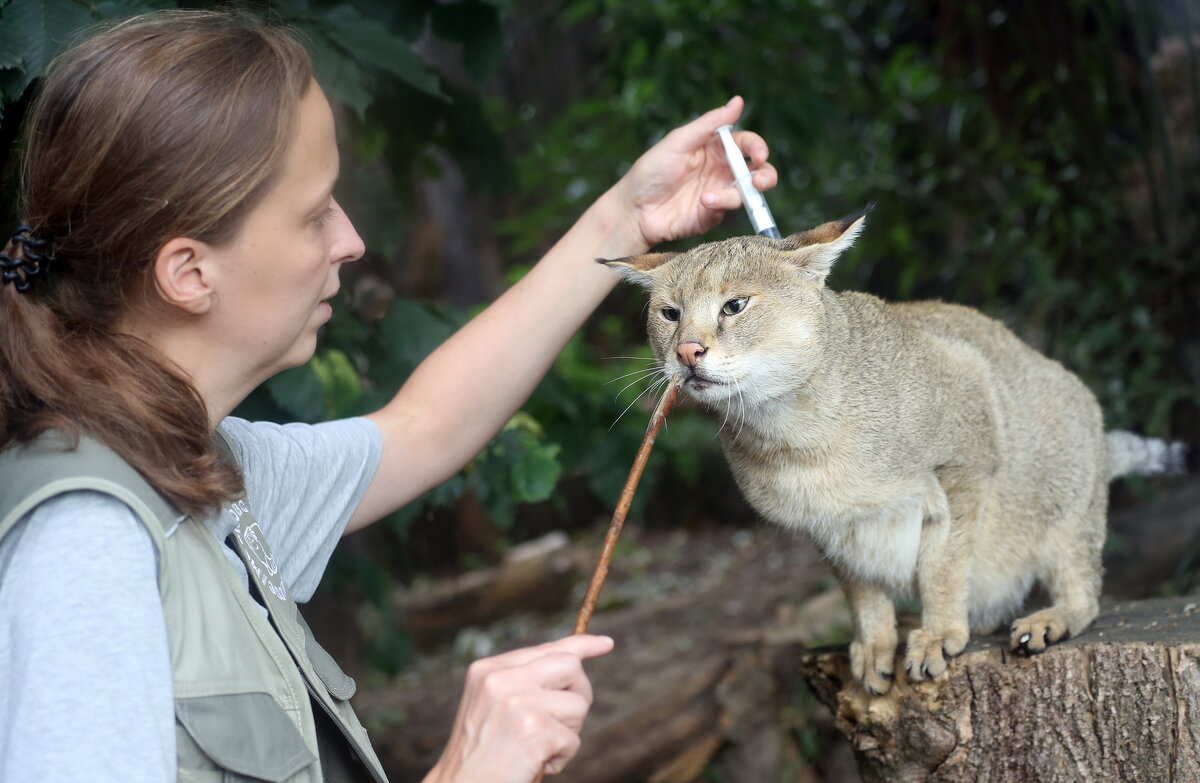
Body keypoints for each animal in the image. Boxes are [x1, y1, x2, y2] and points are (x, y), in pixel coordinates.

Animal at [604, 211, 1185, 696]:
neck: (792, 431)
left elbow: (944, 563)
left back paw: (1046, 619)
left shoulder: (968, 454)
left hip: (1067, 500)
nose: (686, 352)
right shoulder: (828, 526)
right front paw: (876, 643)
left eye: (735, 306)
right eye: (669, 314)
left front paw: (940, 632)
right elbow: (861, 589)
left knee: (1085, 591)